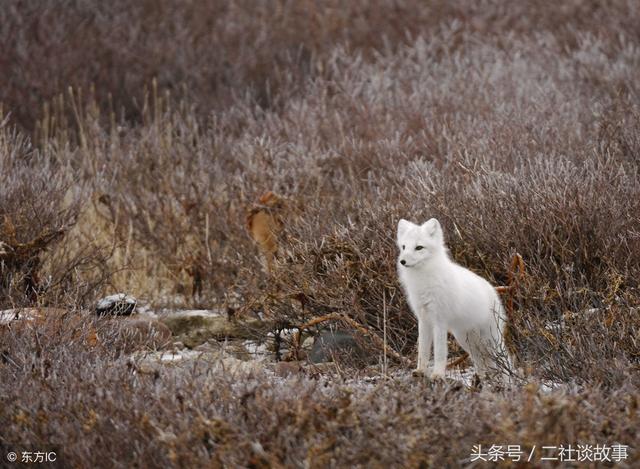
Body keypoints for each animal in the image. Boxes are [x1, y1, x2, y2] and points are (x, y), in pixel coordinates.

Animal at [396, 218, 510, 378]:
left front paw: (437, 375)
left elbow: (439, 352)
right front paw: (420, 371)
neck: (424, 278)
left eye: (419, 247)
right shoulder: (423, 320)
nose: (402, 261)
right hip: (466, 340)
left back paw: (509, 379)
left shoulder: (439, 321)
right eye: (404, 247)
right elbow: (422, 350)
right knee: (480, 361)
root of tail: (494, 292)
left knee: (505, 358)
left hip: (491, 338)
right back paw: (481, 377)